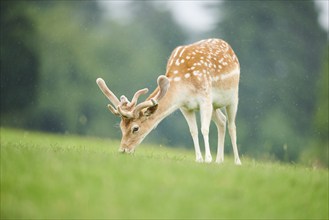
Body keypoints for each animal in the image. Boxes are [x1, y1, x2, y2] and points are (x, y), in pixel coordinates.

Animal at [96, 38, 242, 165]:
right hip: (215, 105)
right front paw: (199, 159)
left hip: (233, 97)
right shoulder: (185, 106)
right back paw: (219, 160)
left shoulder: (205, 98)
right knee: (222, 121)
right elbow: (193, 131)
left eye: (135, 128)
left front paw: (208, 159)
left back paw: (237, 161)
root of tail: (229, 47)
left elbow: (204, 129)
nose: (123, 150)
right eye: (121, 127)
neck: (184, 84)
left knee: (232, 126)